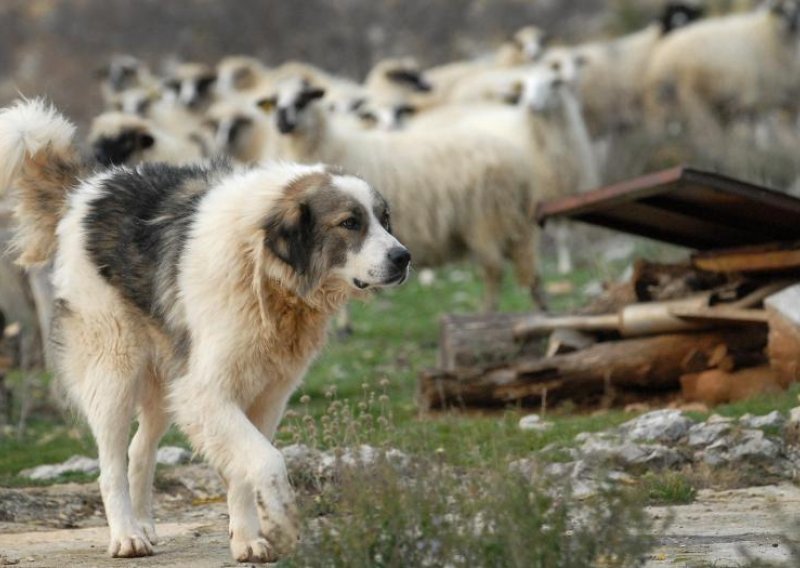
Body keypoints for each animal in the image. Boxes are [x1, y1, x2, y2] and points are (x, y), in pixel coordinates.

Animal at [262, 76, 552, 310]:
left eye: (302, 100)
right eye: (274, 102)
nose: (282, 123)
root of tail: (519, 160)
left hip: (487, 221)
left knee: (495, 271)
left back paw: (490, 315)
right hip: (513, 224)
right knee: (531, 272)